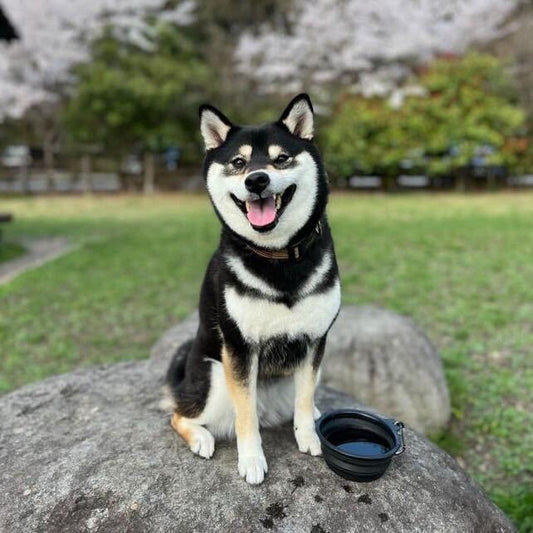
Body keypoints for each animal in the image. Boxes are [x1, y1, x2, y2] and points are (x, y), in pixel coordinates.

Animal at [160, 93, 340, 484]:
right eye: (239, 163)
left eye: (281, 158)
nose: (257, 180)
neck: (278, 257)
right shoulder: (239, 348)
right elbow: (245, 417)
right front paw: (252, 460)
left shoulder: (314, 342)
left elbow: (305, 400)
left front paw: (309, 436)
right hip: (215, 381)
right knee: (178, 414)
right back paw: (200, 438)